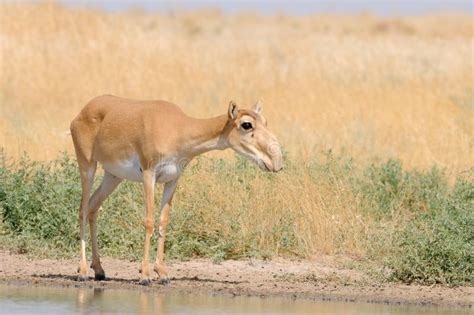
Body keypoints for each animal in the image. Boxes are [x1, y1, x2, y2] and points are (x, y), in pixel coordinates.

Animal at [70, 95, 282, 286]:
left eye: (265, 121)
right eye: (247, 124)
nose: (276, 162)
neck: (178, 128)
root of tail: (81, 113)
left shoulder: (172, 180)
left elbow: (163, 222)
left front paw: (162, 273)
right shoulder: (149, 175)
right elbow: (149, 221)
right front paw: (145, 274)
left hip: (112, 176)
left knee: (93, 207)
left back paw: (99, 270)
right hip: (87, 167)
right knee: (82, 209)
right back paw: (82, 271)